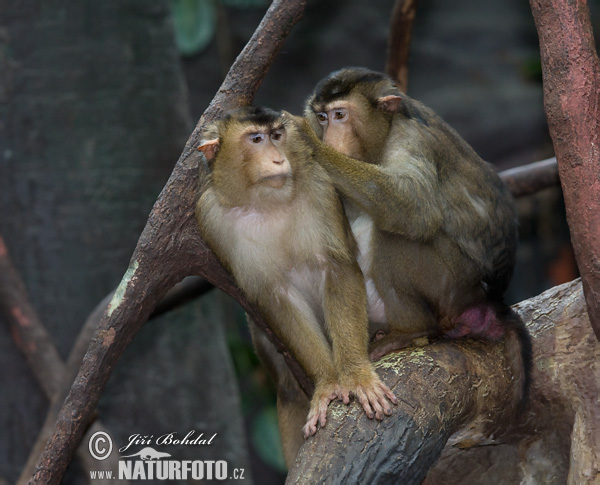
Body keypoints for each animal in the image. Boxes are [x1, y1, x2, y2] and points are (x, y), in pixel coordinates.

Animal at [195, 106, 396, 462]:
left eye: (277, 135)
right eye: (256, 139)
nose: (278, 160)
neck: (264, 201)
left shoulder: (318, 186)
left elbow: (337, 268)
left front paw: (356, 374)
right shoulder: (211, 220)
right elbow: (273, 295)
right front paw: (328, 383)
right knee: (288, 389)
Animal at [292, 66, 532, 406]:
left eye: (340, 115)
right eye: (322, 117)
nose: (328, 137)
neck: (385, 131)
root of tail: (491, 301)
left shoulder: (409, 139)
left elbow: (415, 207)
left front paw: (306, 141)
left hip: (456, 286)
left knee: (395, 235)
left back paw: (410, 330)